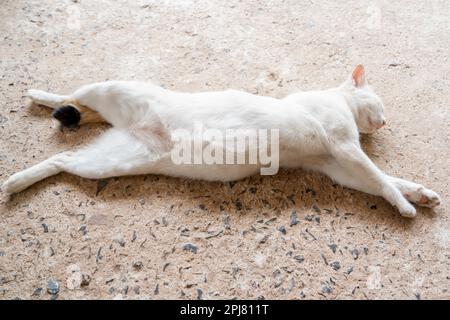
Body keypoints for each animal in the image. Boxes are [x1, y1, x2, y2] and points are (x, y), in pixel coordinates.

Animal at [1, 64, 442, 218]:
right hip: (107, 87)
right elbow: (382, 179)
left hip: (107, 162)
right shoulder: (345, 148)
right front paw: (406, 206)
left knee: (62, 160)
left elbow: (384, 180)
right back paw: (38, 95)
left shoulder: (338, 166)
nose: (384, 121)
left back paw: (14, 183)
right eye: (379, 103)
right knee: (71, 95)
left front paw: (421, 194)